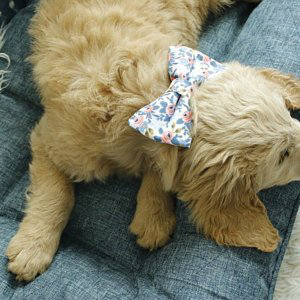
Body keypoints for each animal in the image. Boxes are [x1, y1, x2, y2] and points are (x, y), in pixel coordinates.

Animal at [5, 0, 300, 282]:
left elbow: (161, 174)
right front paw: (33, 248)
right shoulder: (49, 139)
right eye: (283, 154)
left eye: (287, 115)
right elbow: (56, 194)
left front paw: (153, 217)